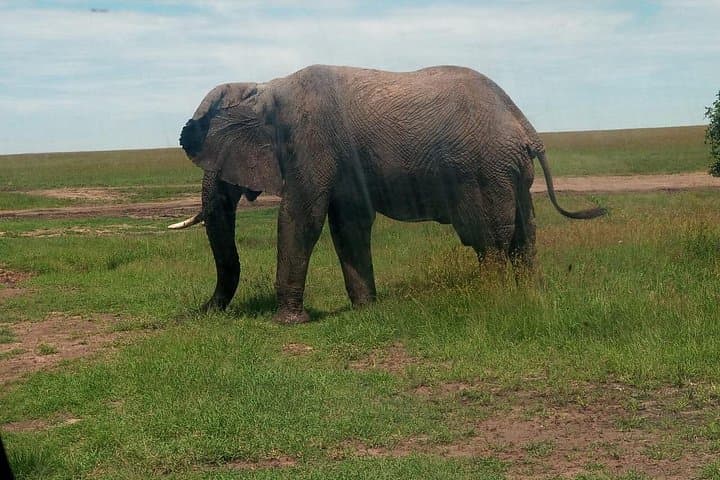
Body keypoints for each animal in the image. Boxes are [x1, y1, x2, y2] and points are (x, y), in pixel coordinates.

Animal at [171, 65, 605, 324]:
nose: (199, 314)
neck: (266, 87)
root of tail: (525, 126)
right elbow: (349, 224)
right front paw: (365, 309)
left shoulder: (310, 143)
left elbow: (301, 217)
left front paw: (288, 323)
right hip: (512, 173)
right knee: (524, 236)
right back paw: (530, 295)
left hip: (486, 170)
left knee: (489, 241)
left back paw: (493, 299)